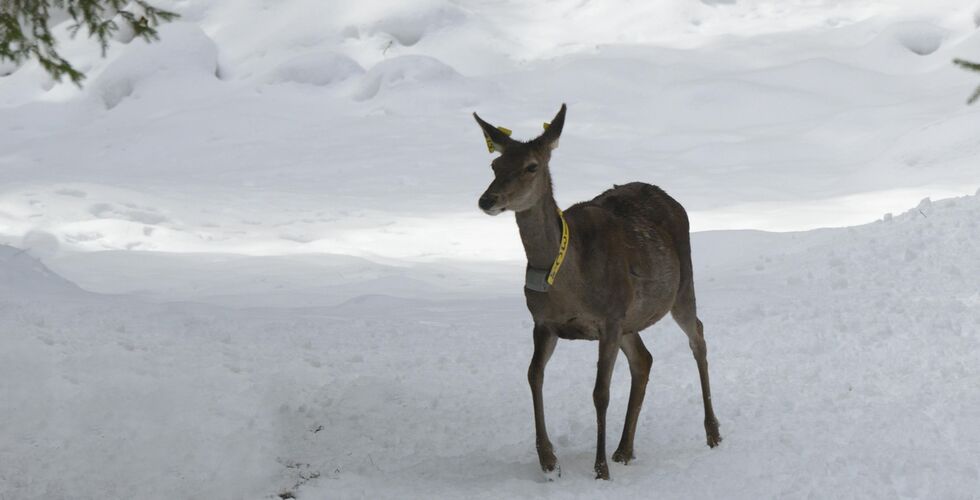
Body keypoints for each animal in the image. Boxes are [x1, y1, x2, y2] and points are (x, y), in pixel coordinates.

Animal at [474, 102, 720, 480]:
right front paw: (548, 460)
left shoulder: (609, 319)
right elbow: (533, 375)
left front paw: (600, 468)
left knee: (698, 335)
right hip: (632, 317)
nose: (487, 200)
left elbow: (600, 392)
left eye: (531, 166)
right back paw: (625, 449)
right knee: (644, 359)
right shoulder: (543, 322)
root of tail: (670, 198)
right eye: (495, 166)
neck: (566, 281)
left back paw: (712, 433)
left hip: (680, 288)